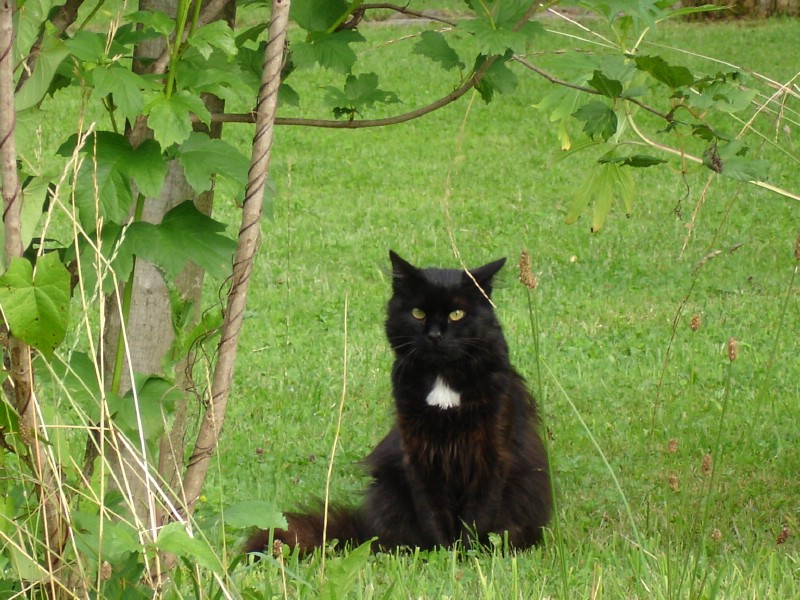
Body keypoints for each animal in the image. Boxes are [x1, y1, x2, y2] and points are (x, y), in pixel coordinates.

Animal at [244, 252, 552, 552]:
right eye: (418, 313)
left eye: (457, 314)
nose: (435, 336)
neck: (443, 379)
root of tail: (364, 530)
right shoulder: (419, 452)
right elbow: (432, 512)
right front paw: (444, 553)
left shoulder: (491, 451)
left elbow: (479, 513)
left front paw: (468, 553)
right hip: (388, 489)